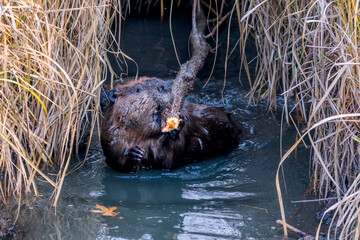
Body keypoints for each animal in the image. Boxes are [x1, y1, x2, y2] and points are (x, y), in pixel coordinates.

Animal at [100, 77, 245, 172]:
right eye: (138, 89)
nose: (165, 85)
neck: (143, 139)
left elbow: (167, 160)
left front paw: (175, 130)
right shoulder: (111, 138)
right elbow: (117, 163)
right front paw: (134, 154)